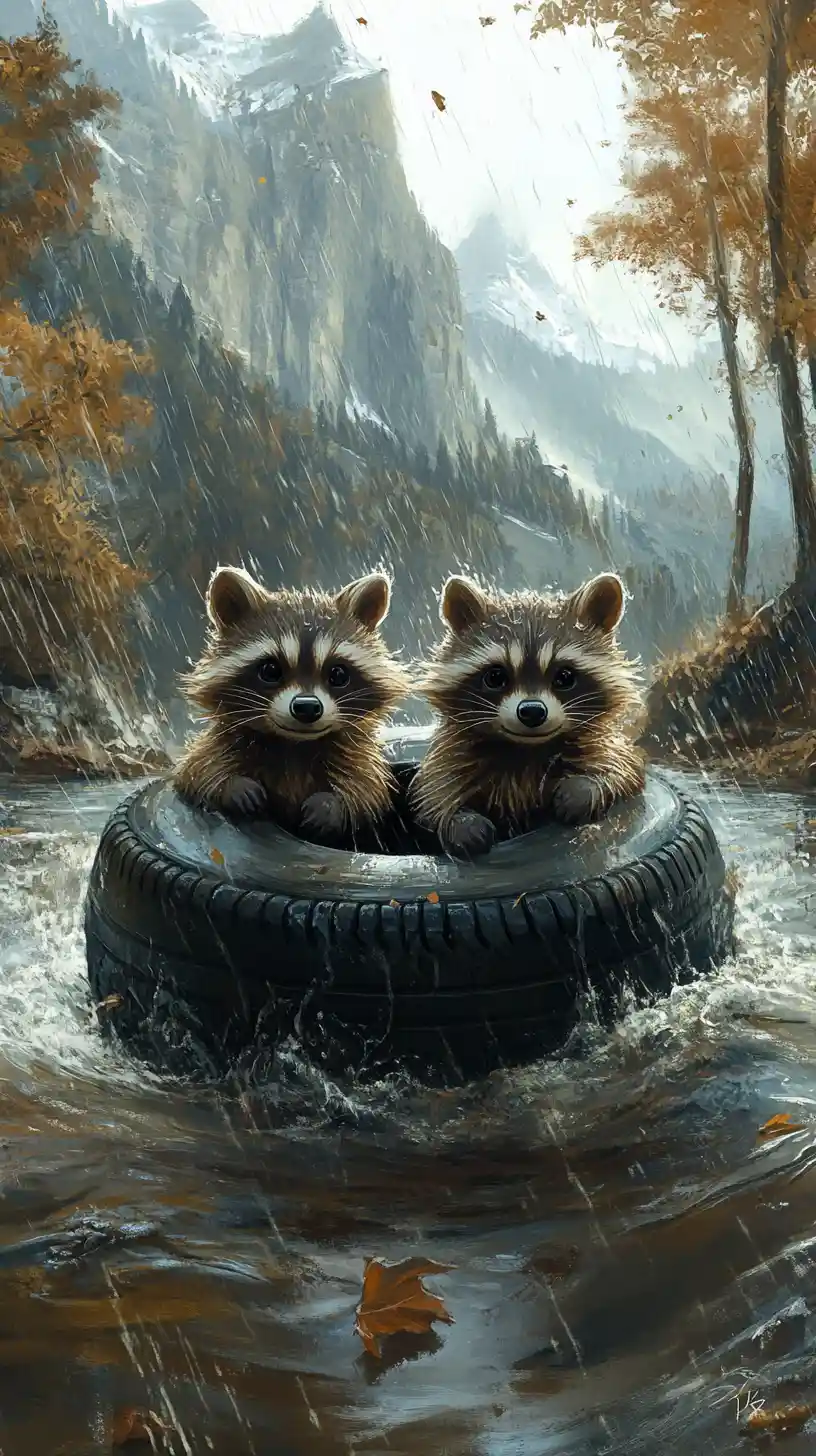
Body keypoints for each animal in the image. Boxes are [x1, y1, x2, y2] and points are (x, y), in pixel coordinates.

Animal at [173, 565, 411, 845]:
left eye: (338, 674)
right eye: (271, 670)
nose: (307, 708)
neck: (295, 745)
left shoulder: (355, 755)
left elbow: (369, 789)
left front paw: (333, 804)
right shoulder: (223, 740)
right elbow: (195, 769)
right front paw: (230, 785)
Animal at [409, 571, 645, 858]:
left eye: (564, 677)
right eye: (495, 677)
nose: (532, 712)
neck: (527, 749)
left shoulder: (601, 745)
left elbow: (625, 769)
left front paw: (587, 787)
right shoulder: (453, 756)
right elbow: (436, 792)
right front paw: (458, 819)